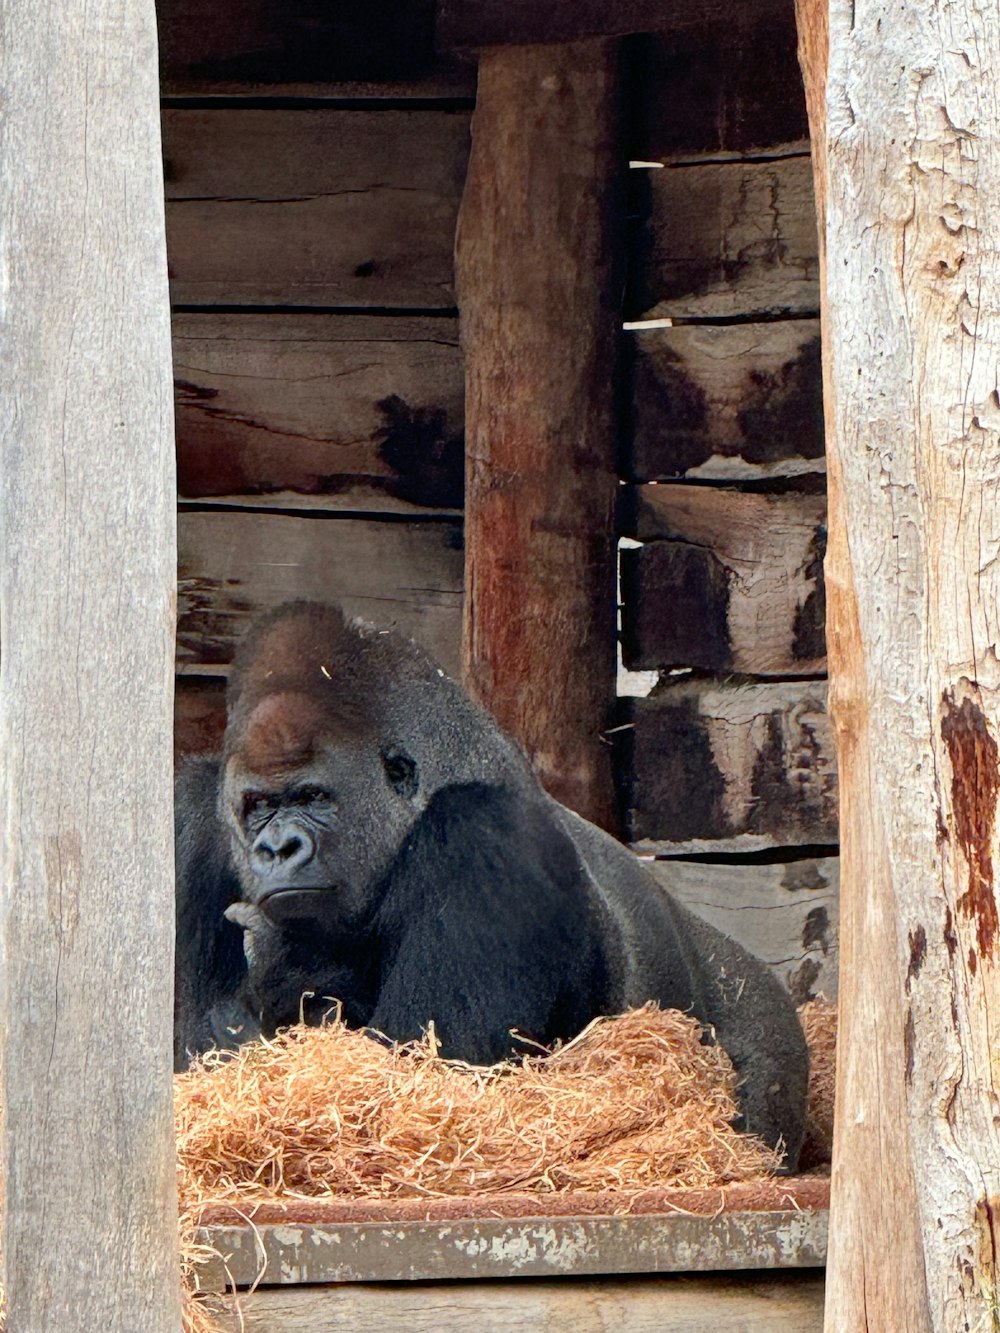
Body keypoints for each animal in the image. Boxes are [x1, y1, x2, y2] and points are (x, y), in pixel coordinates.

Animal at [176, 605, 810, 1167]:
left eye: (313, 797)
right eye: (259, 807)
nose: (277, 849)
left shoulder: (483, 831)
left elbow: (420, 1078)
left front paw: (283, 970)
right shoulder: (192, 818)